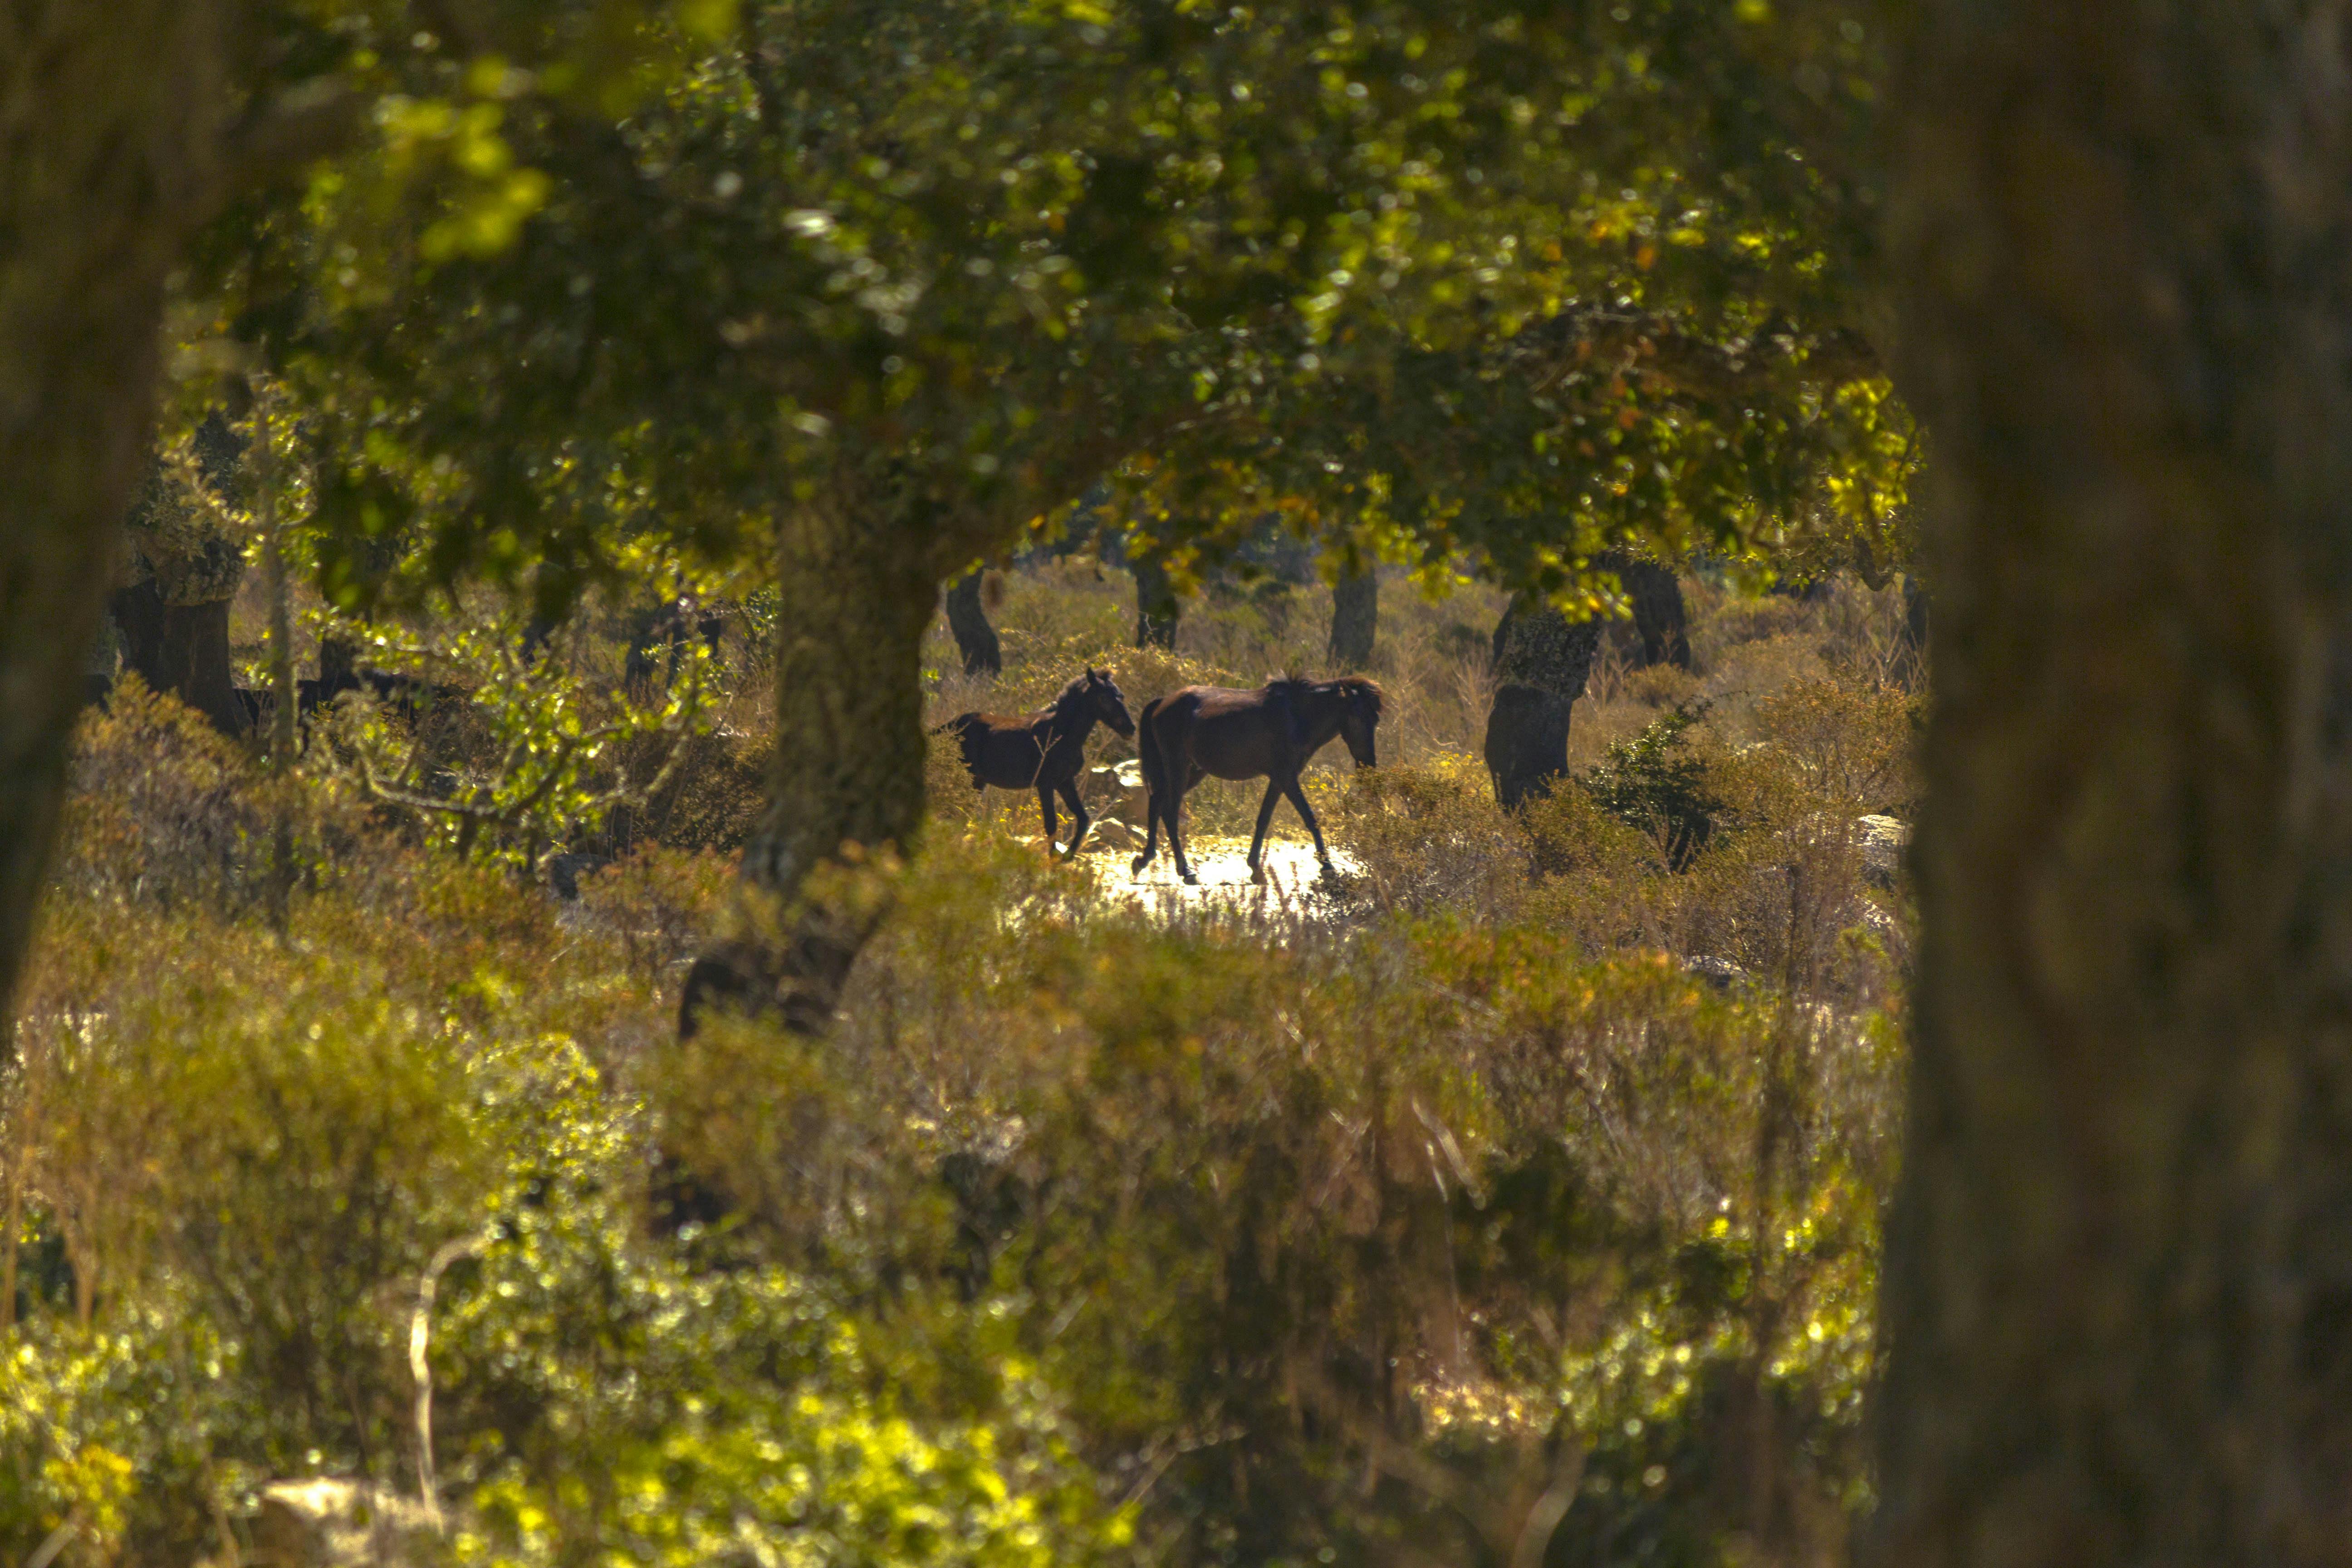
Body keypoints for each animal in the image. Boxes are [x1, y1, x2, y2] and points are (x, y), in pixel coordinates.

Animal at [936, 667, 1138, 860]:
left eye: (1121, 696)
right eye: (1103, 697)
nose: (1130, 729)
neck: (1062, 735)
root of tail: (945, 728)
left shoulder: (1065, 782)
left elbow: (1083, 818)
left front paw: (1067, 857)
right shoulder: (1045, 784)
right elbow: (1051, 824)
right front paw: (1054, 859)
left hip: (977, 782)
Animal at [1133, 677, 1383, 884]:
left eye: (1376, 719)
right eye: (1358, 717)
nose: (1369, 765)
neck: (1297, 717)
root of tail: (1163, 702)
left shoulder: (1279, 779)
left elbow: (1264, 820)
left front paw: (1255, 868)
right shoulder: (1287, 777)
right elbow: (1310, 818)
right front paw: (1328, 866)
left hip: (1193, 771)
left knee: (1156, 803)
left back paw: (1144, 860)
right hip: (1178, 767)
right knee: (1169, 812)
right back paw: (1186, 871)